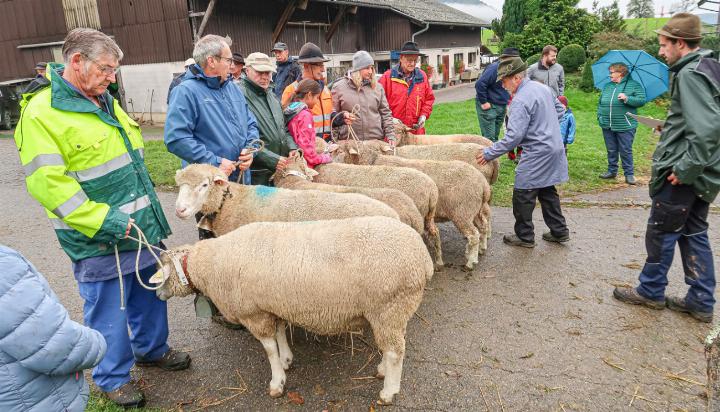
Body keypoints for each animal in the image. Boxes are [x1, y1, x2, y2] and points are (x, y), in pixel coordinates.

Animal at [152, 217, 434, 404]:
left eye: (162, 271)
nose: (157, 295)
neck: (210, 265)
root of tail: (423, 257)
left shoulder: (254, 313)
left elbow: (268, 349)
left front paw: (277, 381)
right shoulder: (271, 305)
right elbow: (279, 334)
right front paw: (286, 359)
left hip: (388, 307)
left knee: (396, 351)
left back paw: (388, 391)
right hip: (394, 312)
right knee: (393, 346)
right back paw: (382, 370)